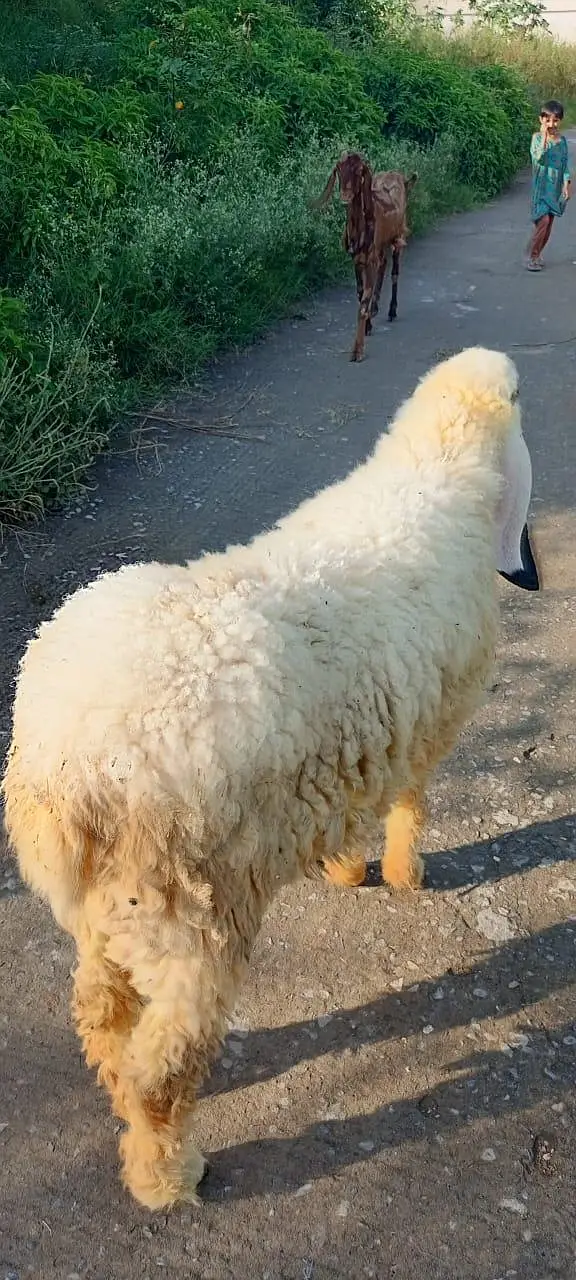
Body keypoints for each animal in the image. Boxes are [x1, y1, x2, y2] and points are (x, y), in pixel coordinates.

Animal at [2, 347, 539, 1212]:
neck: (432, 471)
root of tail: (65, 757)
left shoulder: (371, 731)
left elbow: (365, 800)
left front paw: (347, 866)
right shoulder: (432, 718)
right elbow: (410, 799)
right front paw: (402, 872)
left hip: (106, 908)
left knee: (101, 1014)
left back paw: (119, 1096)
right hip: (187, 912)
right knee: (164, 1064)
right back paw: (165, 1175)